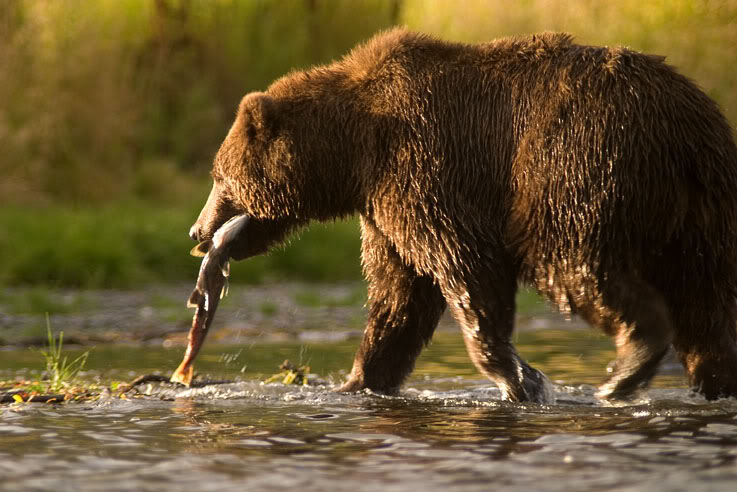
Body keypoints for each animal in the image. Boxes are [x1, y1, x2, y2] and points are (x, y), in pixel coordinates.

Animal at [187, 27, 736, 404]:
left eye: (218, 177)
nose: (198, 229)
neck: (353, 150)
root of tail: (684, 129)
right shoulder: (383, 210)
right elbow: (398, 297)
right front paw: (359, 381)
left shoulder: (423, 168)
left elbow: (466, 265)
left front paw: (521, 378)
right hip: (702, 213)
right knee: (706, 303)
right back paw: (713, 380)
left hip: (575, 165)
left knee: (573, 262)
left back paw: (625, 370)